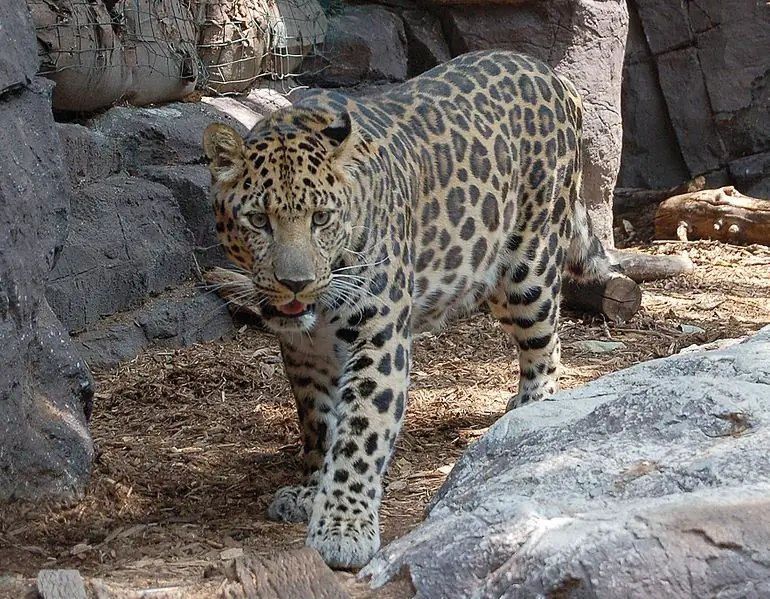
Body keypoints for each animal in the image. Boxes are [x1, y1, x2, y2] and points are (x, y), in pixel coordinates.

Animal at [201, 49, 616, 568]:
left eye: (321, 218)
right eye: (258, 220)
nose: (295, 284)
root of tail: (550, 73)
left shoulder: (378, 334)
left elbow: (360, 431)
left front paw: (342, 528)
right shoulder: (304, 352)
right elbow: (319, 421)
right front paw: (311, 489)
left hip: (528, 267)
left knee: (547, 341)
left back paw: (530, 410)